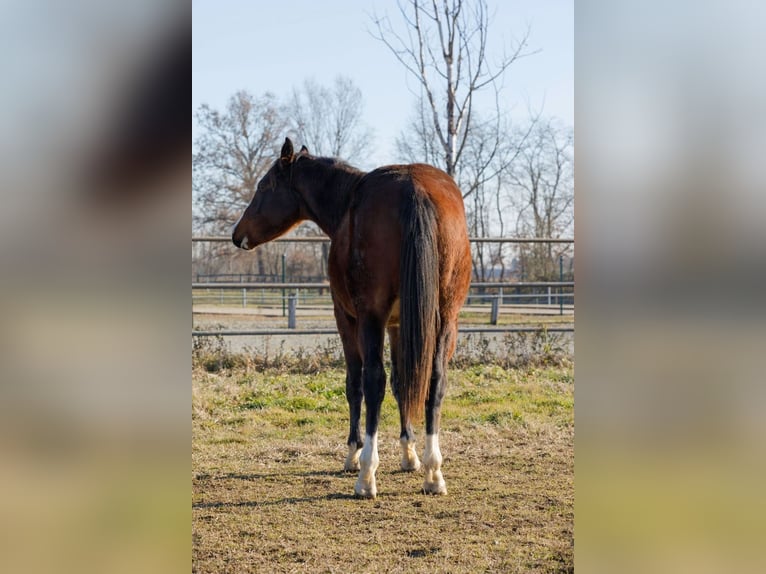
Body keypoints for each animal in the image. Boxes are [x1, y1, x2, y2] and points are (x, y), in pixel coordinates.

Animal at [232, 140, 474, 500]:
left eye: (264, 186)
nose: (237, 235)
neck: (348, 200)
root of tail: (413, 188)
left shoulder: (347, 318)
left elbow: (355, 384)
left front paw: (354, 453)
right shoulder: (398, 324)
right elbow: (403, 382)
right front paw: (409, 454)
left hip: (369, 318)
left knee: (373, 381)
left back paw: (366, 475)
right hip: (446, 318)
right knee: (435, 380)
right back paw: (433, 472)